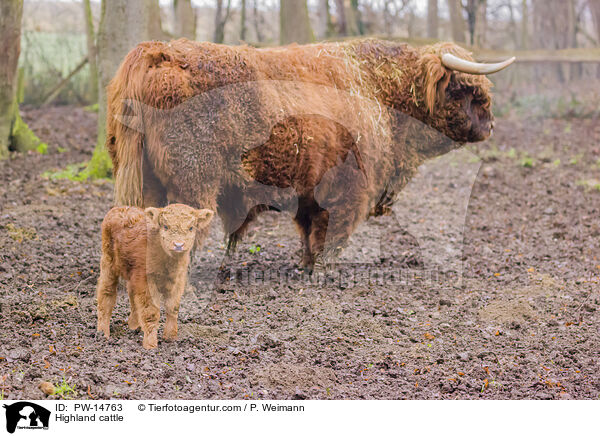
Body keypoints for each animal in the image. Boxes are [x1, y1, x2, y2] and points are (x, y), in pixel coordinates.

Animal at [99, 203, 217, 350]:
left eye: (191, 228)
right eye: (165, 226)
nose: (178, 245)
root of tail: (121, 208)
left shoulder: (178, 281)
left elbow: (173, 308)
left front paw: (171, 338)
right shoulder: (146, 283)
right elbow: (151, 312)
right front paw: (150, 344)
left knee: (131, 294)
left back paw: (134, 325)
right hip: (108, 262)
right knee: (106, 292)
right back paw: (103, 332)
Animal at [105, 38, 512, 270]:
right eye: (467, 90)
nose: (491, 125)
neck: (377, 89)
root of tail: (157, 53)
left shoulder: (308, 190)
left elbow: (307, 231)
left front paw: (305, 264)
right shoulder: (351, 190)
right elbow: (333, 234)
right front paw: (323, 269)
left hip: (145, 181)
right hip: (193, 184)